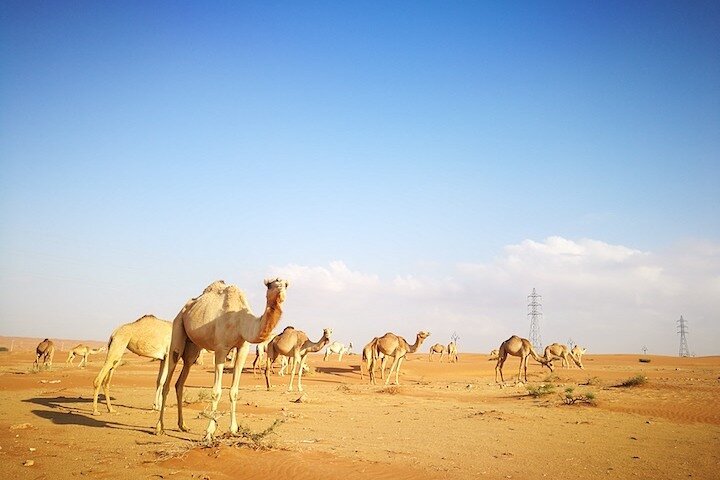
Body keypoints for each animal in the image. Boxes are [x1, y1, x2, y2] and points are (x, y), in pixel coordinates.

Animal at [155, 278, 288, 441]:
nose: (281, 290)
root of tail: (184, 309)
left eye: (286, 284)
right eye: (270, 284)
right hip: (178, 328)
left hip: (192, 346)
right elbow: (216, 391)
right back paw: (159, 427)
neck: (241, 321)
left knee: (182, 377)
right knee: (169, 377)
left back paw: (183, 425)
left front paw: (233, 429)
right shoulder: (221, 349)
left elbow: (234, 391)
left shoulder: (243, 348)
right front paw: (209, 432)